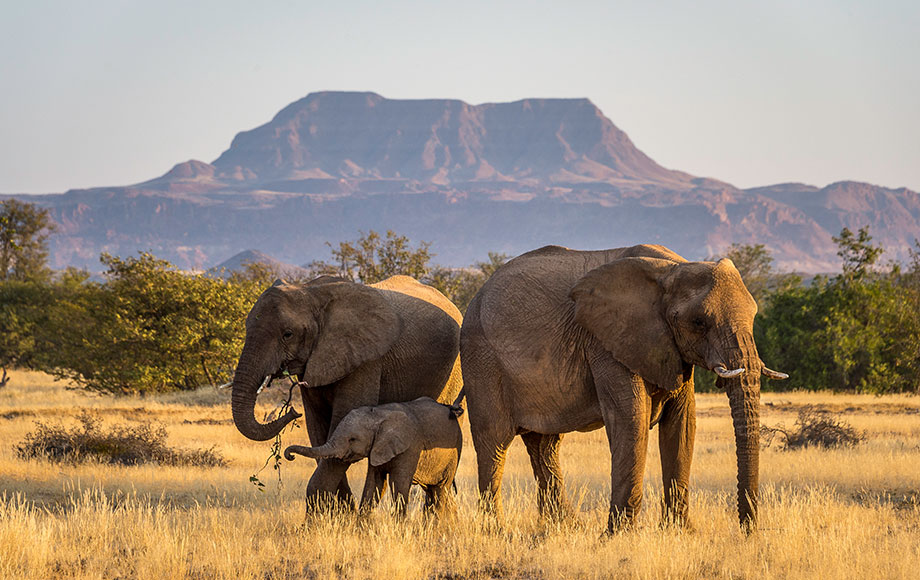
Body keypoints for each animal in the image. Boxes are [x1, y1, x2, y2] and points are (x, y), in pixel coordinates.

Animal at [284, 394, 464, 516]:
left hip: (455, 450)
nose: (289, 455)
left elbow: (398, 483)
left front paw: (399, 531)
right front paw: (361, 531)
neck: (379, 414)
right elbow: (374, 483)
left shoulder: (411, 447)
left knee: (440, 490)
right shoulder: (377, 447)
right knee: (433, 492)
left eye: (352, 439)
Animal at [464, 242, 788, 532]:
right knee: (494, 443)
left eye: (754, 316)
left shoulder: (672, 350)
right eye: (698, 322)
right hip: (482, 360)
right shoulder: (606, 341)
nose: (748, 531)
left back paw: (566, 528)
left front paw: (680, 532)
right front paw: (617, 536)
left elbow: (682, 424)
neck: (672, 269)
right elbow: (631, 419)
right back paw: (495, 530)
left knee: (544, 445)